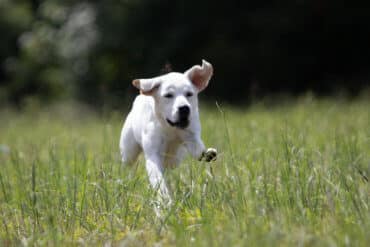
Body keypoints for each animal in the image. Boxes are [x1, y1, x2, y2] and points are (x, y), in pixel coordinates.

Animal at [118, 59, 217, 205]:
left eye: (189, 94)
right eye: (168, 95)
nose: (184, 108)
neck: (170, 128)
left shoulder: (191, 135)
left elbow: (198, 149)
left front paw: (207, 154)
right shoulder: (153, 156)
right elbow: (159, 181)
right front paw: (165, 200)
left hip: (175, 159)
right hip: (128, 151)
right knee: (128, 164)